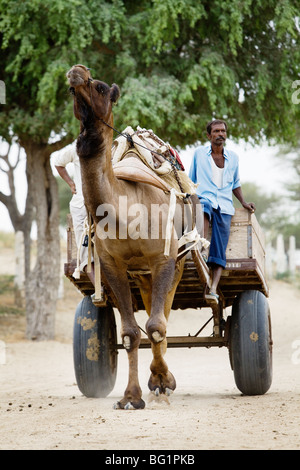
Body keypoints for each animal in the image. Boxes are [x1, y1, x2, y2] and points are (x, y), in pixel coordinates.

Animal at [66, 65, 197, 408]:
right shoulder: (113, 265)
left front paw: (161, 384)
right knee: (152, 308)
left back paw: (163, 379)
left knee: (161, 315)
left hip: (176, 263)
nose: (76, 72)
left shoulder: (163, 259)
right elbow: (130, 333)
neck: (125, 210)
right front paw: (131, 396)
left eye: (99, 87)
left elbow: (155, 326)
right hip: (141, 274)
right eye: (71, 91)